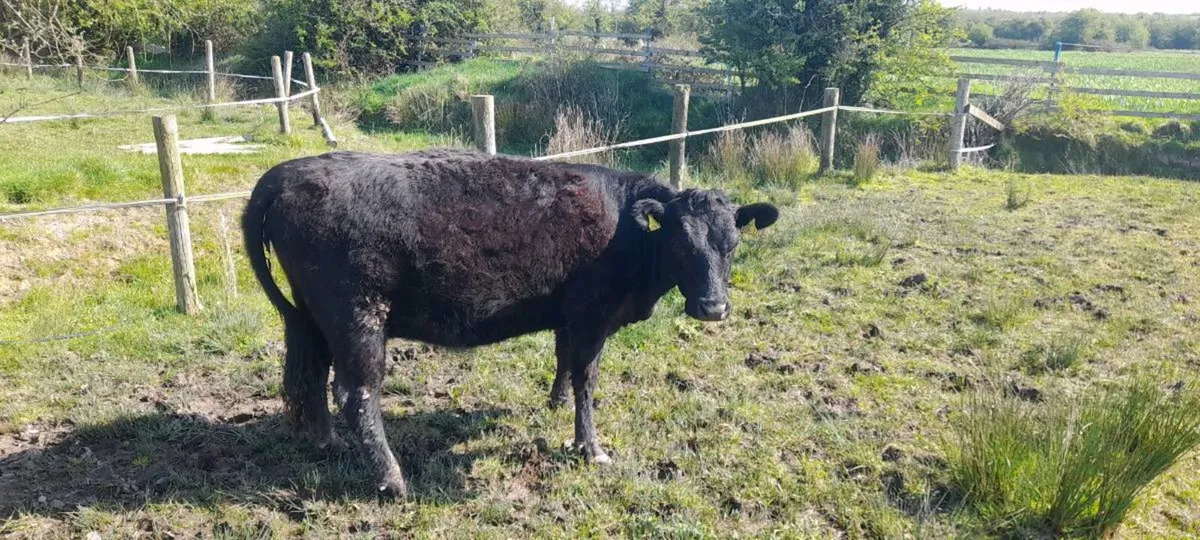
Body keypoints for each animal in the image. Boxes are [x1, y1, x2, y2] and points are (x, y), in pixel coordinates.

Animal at [242, 149, 779, 496]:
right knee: (357, 394)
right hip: (358, 316)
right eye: (681, 244)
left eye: (732, 244)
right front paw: (590, 447)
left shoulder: (569, 316)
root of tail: (288, 172)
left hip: (314, 317)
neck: (627, 229)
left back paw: (326, 441)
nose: (713, 308)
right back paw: (392, 480)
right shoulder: (593, 316)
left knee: (312, 377)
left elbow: (564, 361)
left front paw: (554, 403)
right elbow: (587, 379)